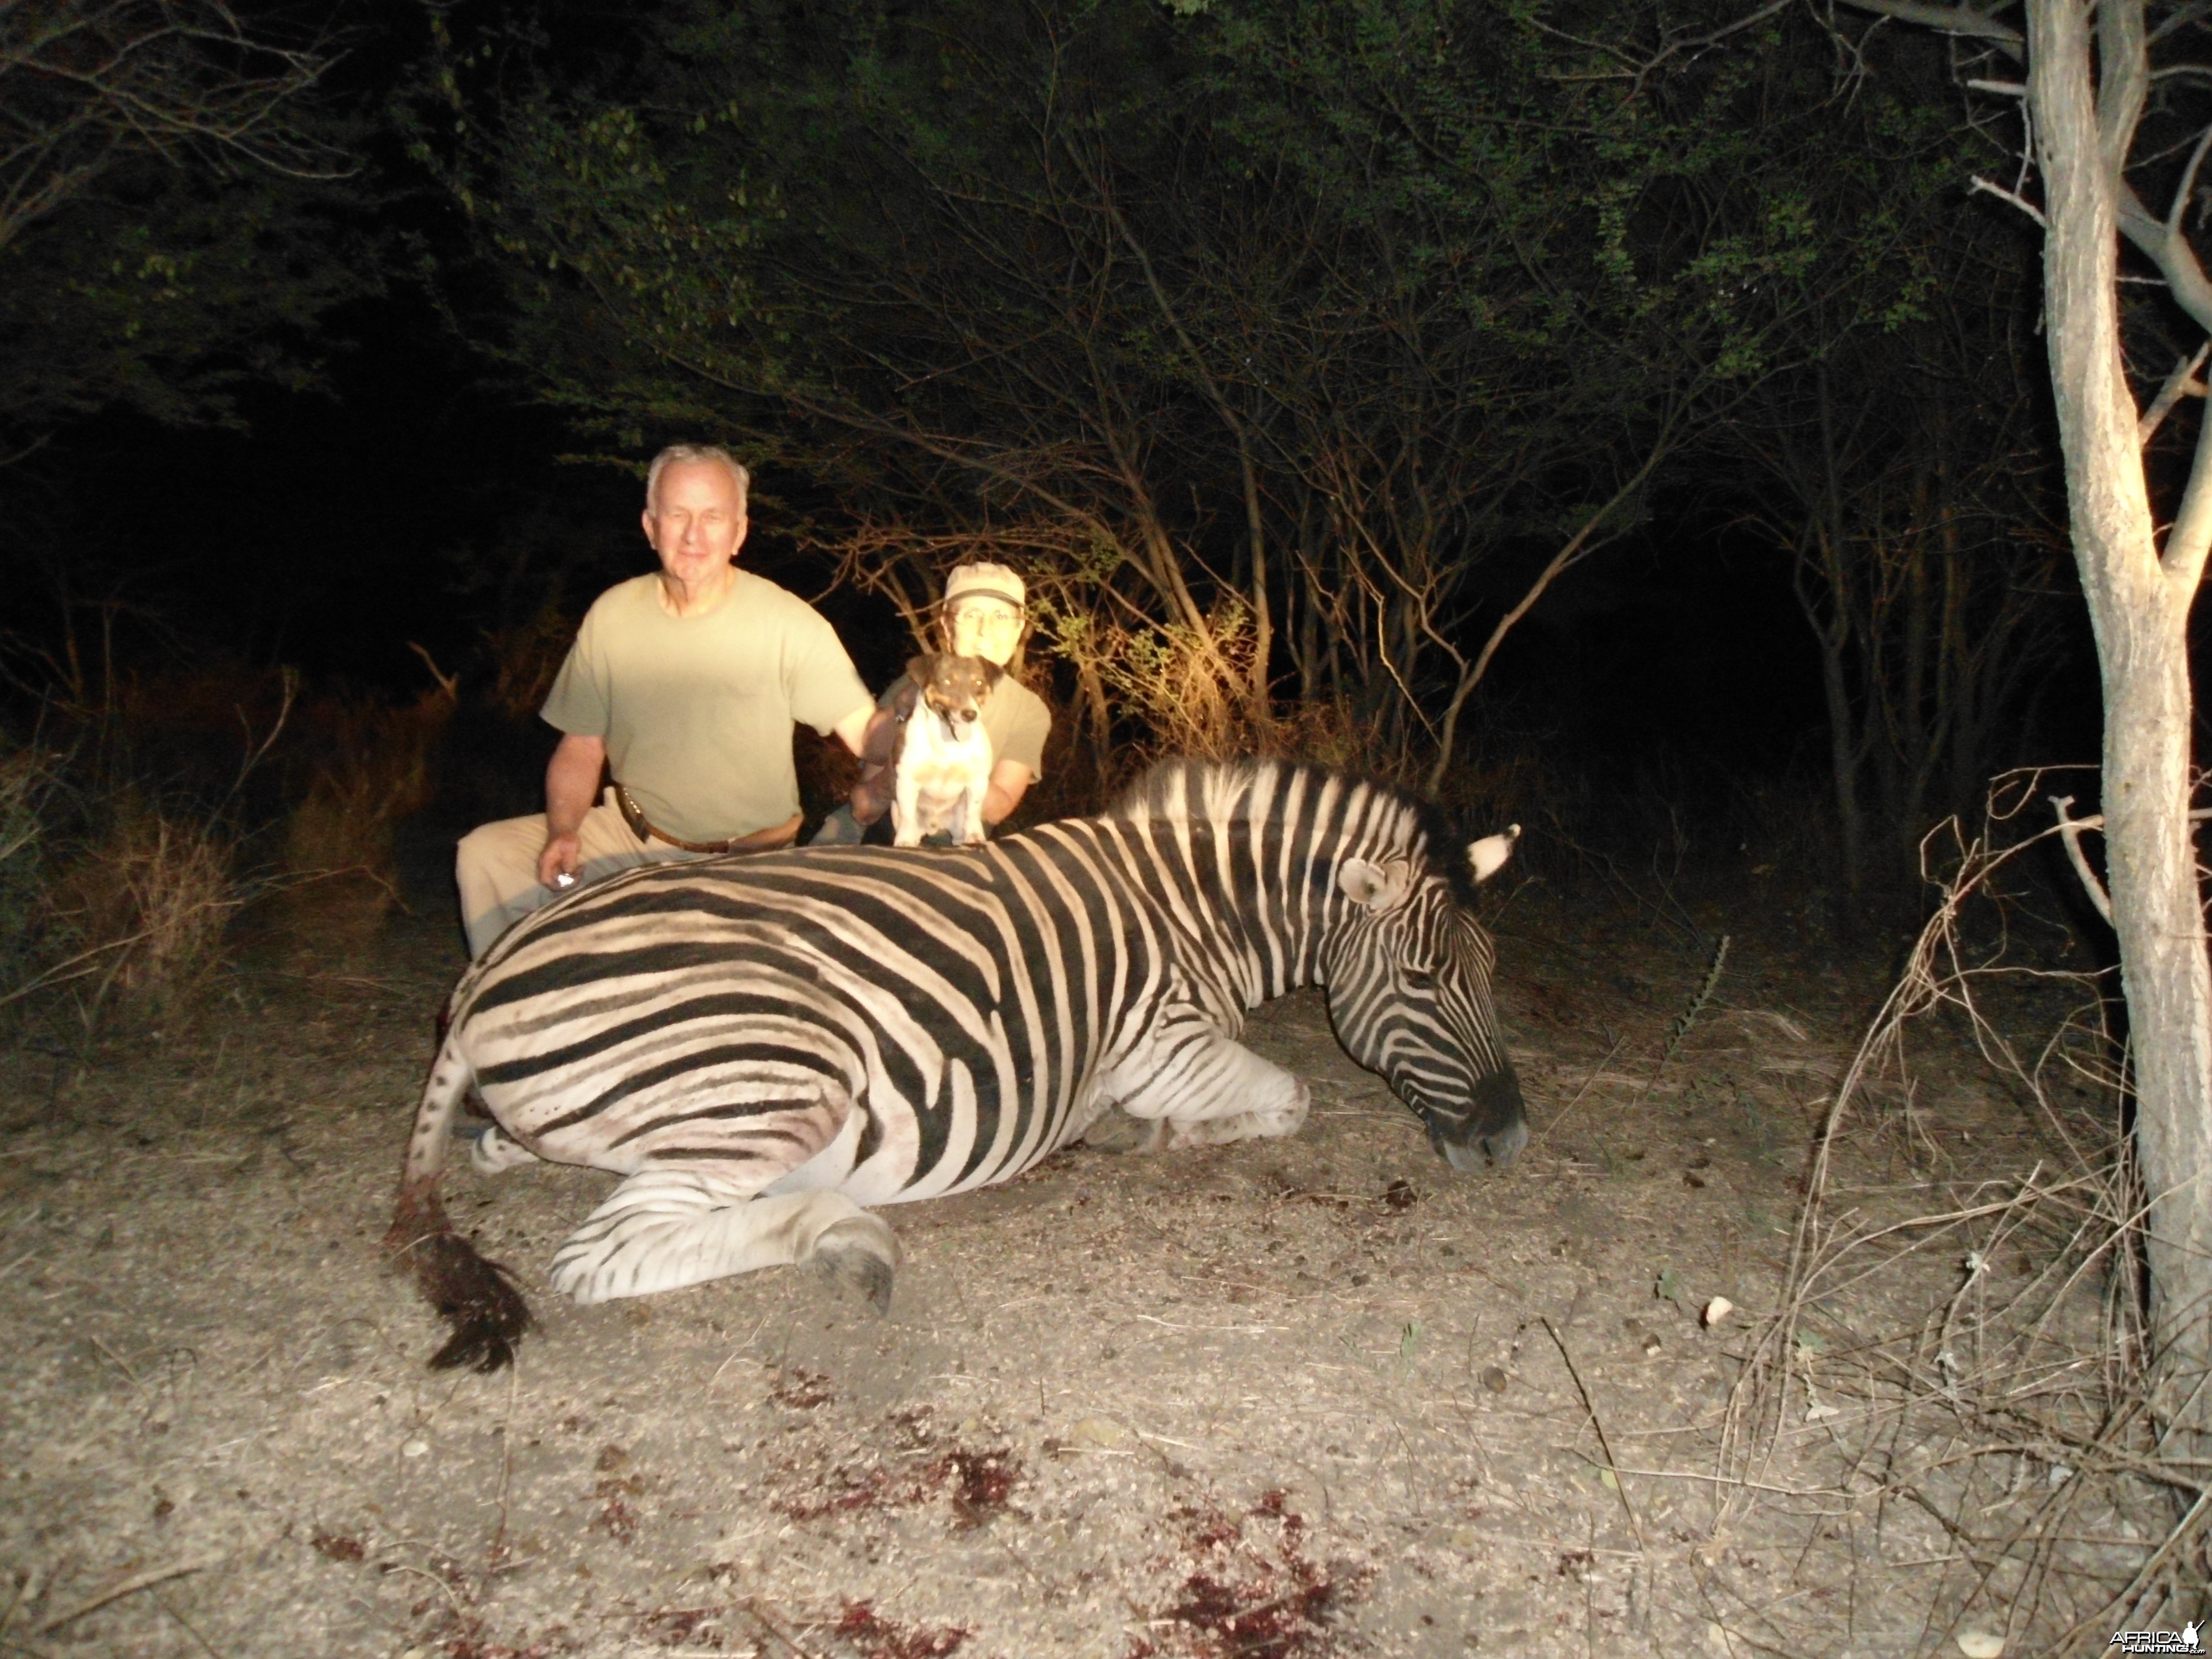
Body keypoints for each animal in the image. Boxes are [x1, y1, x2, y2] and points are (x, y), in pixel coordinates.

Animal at [389, 761, 1531, 1371]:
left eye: (1491, 971)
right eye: (1424, 981)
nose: (1510, 1138)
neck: (1190, 908)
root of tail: (486, 973)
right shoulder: (1164, 1048)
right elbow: (1291, 1098)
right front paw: (1163, 1135)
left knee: (511, 1156)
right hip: (786, 1079)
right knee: (603, 1256)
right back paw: (843, 1235)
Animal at [894, 655, 1009, 849]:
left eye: (979, 682)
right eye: (947, 682)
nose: (970, 715)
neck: (948, 742)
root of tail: (934, 826)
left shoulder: (978, 781)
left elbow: (974, 812)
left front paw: (975, 836)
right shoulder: (907, 781)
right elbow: (908, 817)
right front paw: (905, 841)